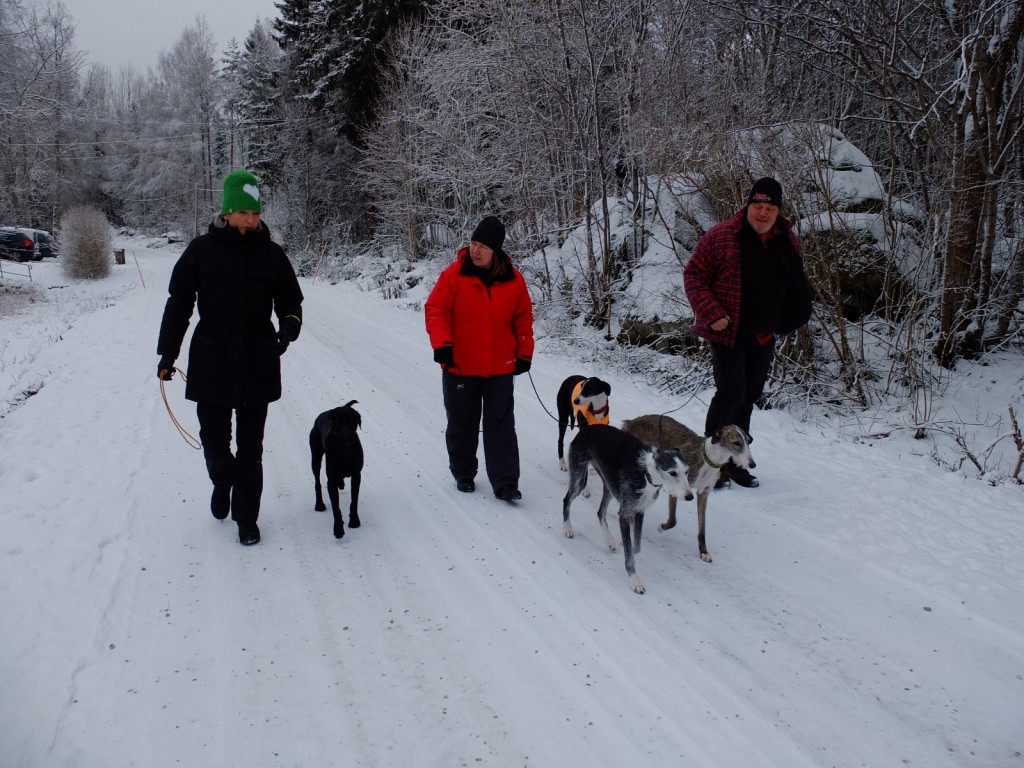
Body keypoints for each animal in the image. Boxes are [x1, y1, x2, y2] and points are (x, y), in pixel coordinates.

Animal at [307, 403, 364, 540]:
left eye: (351, 420)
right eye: (338, 422)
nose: (346, 435)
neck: (345, 450)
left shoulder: (356, 475)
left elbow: (354, 500)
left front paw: (354, 521)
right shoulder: (331, 481)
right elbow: (335, 507)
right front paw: (338, 529)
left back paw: (341, 483)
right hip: (315, 457)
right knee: (317, 482)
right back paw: (319, 504)